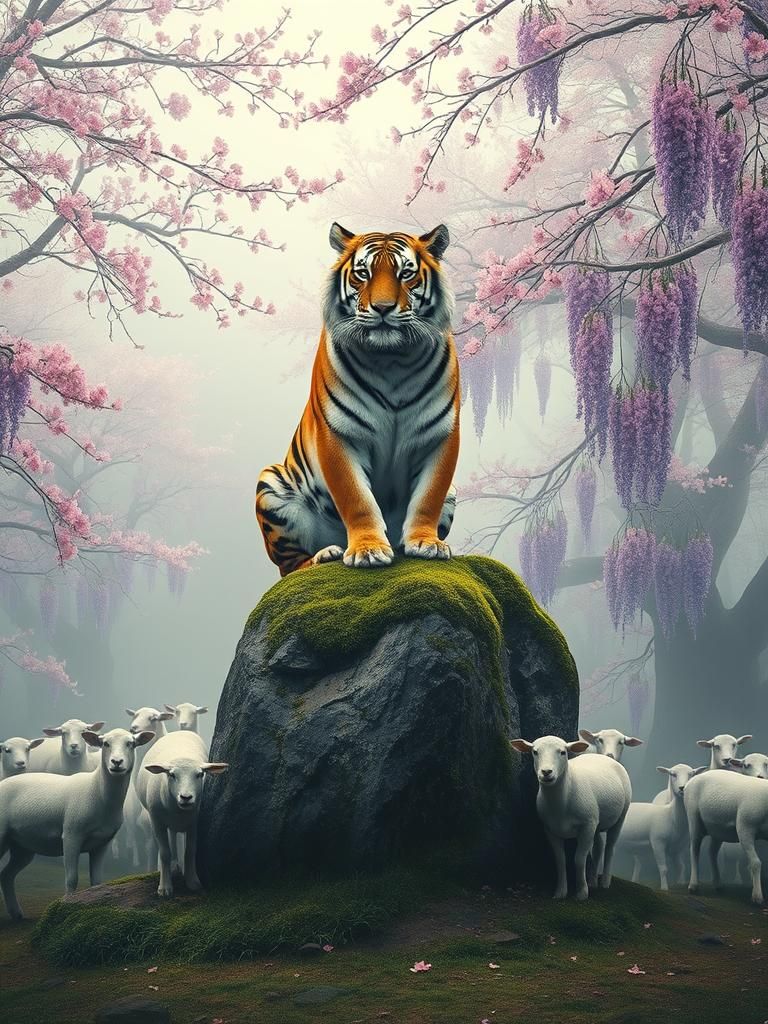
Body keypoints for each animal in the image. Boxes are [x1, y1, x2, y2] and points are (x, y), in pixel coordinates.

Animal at [0, 727, 154, 919]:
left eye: (131, 743)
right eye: (105, 743)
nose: (116, 762)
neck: (96, 791)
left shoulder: (102, 842)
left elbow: (97, 882)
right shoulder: (71, 835)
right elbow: (72, 879)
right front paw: (65, 907)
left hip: (22, 845)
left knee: (6, 875)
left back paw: (16, 913)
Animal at [137, 729, 227, 896]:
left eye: (200, 774)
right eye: (172, 775)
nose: (186, 797)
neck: (178, 811)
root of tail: (179, 731)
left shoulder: (194, 821)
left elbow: (190, 850)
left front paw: (193, 881)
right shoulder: (157, 821)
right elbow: (164, 853)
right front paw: (165, 888)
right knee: (171, 839)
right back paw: (174, 867)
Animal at [255, 222, 459, 577]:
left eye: (406, 273)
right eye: (363, 273)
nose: (383, 308)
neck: (393, 360)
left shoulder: (440, 435)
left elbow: (429, 496)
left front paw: (426, 544)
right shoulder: (338, 434)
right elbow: (357, 498)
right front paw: (368, 550)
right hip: (271, 485)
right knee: (289, 567)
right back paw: (325, 554)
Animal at [511, 735, 631, 900]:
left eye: (563, 752)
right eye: (535, 752)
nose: (546, 772)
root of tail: (602, 756)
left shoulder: (587, 825)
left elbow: (579, 859)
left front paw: (581, 893)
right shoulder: (550, 829)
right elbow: (560, 860)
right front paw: (560, 892)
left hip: (621, 814)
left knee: (610, 846)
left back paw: (605, 882)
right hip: (596, 821)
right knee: (599, 846)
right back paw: (593, 880)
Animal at [685, 769, 768, 904]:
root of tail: (691, 781)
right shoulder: (744, 827)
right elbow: (755, 863)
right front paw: (757, 897)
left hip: (718, 829)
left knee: (712, 852)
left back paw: (718, 884)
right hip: (693, 817)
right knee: (694, 850)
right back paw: (693, 885)